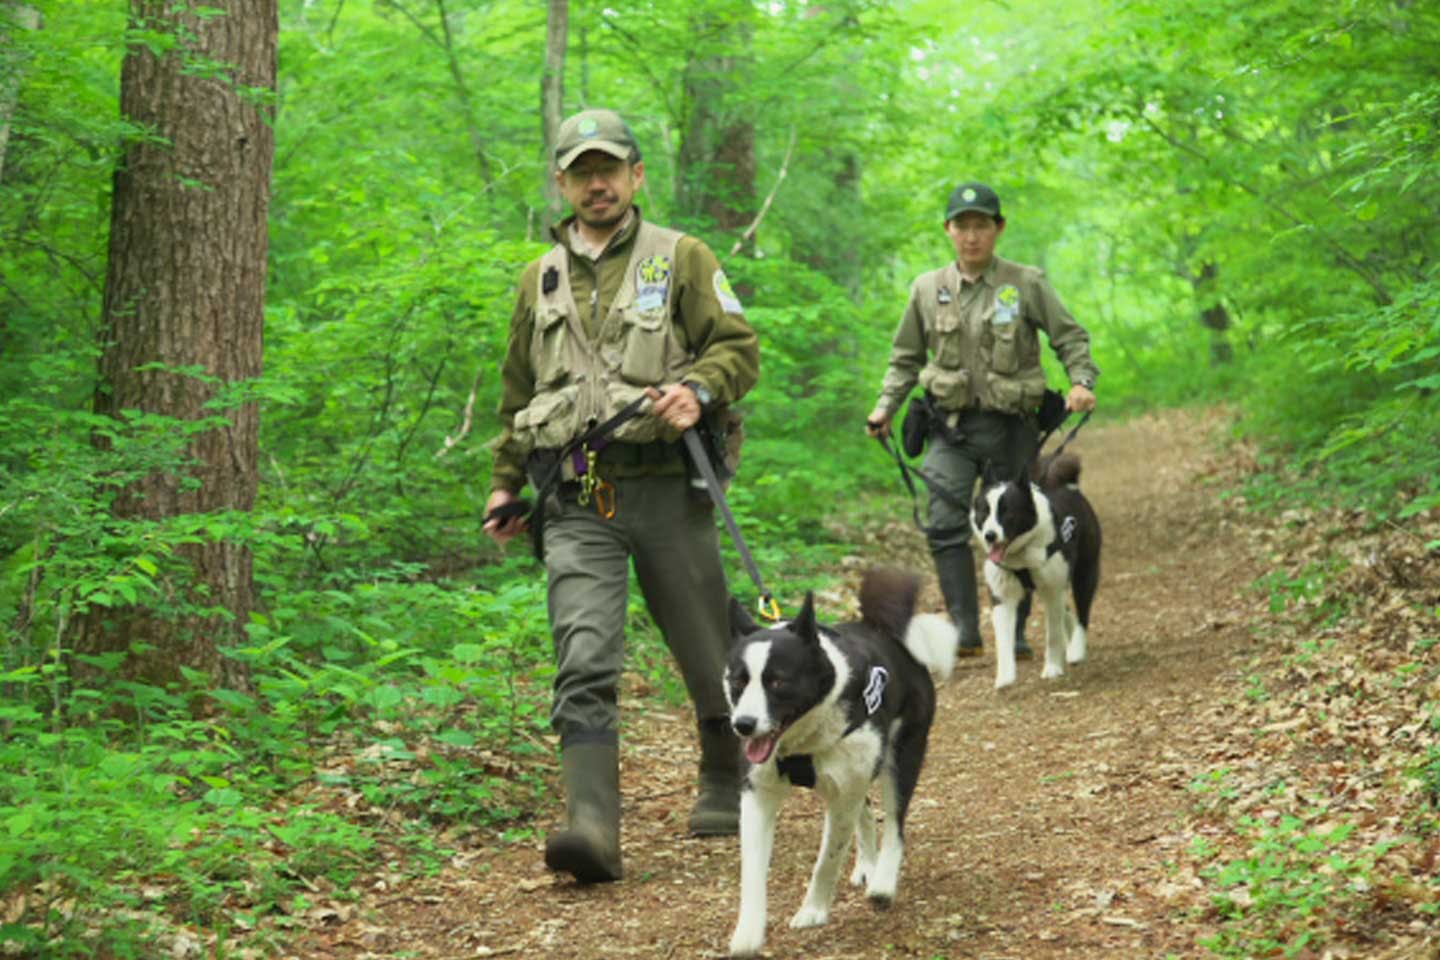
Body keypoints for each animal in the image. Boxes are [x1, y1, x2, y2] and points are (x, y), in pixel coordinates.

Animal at [725, 567, 950, 955]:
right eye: (738, 681)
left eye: (778, 682)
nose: (744, 725)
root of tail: (883, 630)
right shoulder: (758, 795)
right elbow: (751, 870)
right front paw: (749, 934)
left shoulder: (844, 794)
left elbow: (827, 861)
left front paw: (813, 910)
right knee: (866, 809)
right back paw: (868, 865)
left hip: (899, 757)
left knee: (894, 823)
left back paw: (883, 880)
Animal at [979, 451, 1100, 690]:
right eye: (985, 512)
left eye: (1006, 512)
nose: (990, 535)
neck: (1021, 553)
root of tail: (1070, 489)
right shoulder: (1001, 595)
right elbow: (1002, 638)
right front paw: (1005, 677)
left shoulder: (1053, 589)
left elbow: (1052, 634)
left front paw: (1052, 668)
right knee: (1067, 612)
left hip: (1084, 573)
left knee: (1082, 613)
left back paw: (1076, 649)